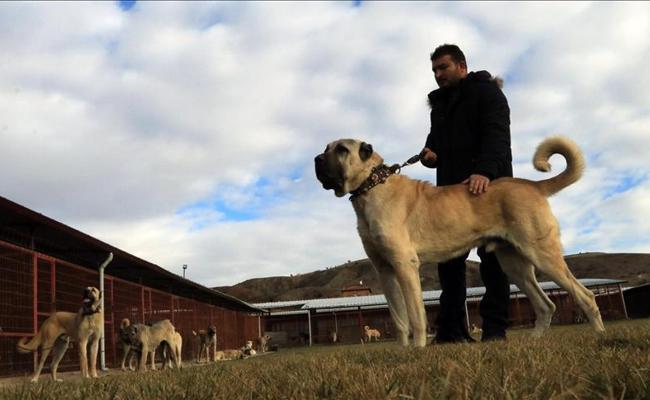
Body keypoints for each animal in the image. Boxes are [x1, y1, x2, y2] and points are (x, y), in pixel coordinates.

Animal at [314, 135, 604, 346]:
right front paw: (403, 353)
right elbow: (399, 319)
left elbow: (415, 315)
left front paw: (417, 351)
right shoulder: (385, 271)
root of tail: (532, 185)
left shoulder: (405, 266)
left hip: (543, 255)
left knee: (585, 295)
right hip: (515, 265)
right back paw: (532, 342)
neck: (371, 186)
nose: (316, 159)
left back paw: (600, 337)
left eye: (342, 149)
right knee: (546, 305)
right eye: (326, 148)